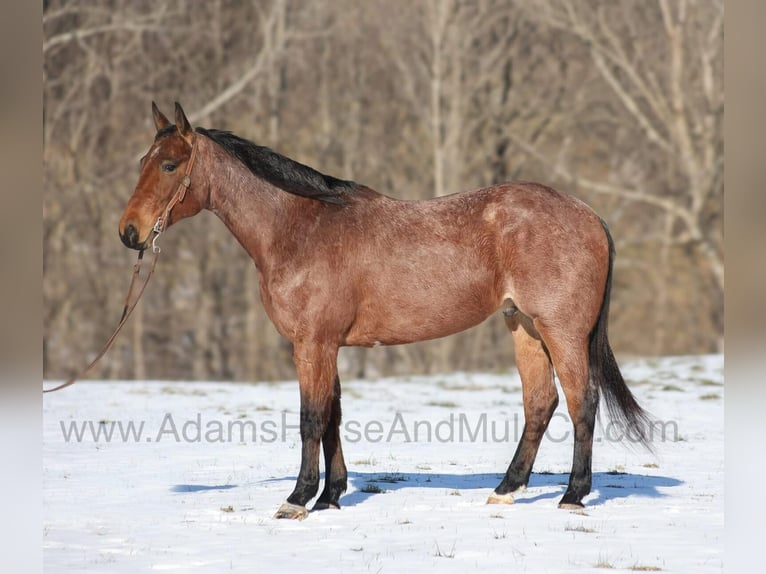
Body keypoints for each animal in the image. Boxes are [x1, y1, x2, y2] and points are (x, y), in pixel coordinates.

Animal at [121, 102, 656, 520]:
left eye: (170, 165)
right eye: (142, 160)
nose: (129, 232)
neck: (300, 229)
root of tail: (588, 214)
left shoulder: (312, 344)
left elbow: (311, 417)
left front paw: (297, 499)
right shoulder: (327, 345)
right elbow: (333, 415)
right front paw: (330, 497)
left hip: (560, 331)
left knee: (582, 401)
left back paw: (572, 496)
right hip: (522, 326)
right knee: (540, 403)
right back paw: (506, 490)